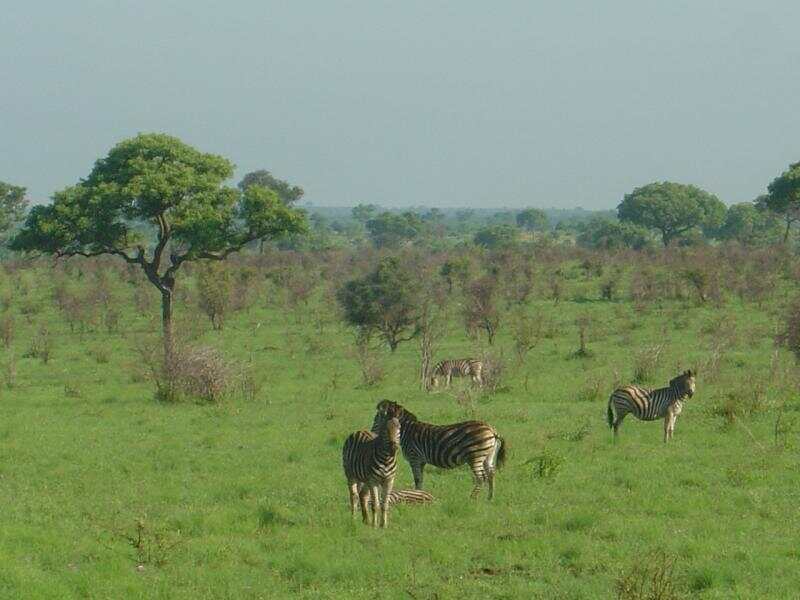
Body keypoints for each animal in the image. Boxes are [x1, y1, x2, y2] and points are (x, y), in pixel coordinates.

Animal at [370, 400, 506, 500]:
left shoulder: (414, 458)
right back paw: (490, 498)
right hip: (488, 456)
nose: (371, 433)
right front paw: (419, 494)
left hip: (475, 456)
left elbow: (417, 479)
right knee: (491, 474)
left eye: (376, 419)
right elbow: (420, 480)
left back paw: (472, 498)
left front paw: (417, 496)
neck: (406, 432)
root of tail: (491, 430)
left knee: (481, 477)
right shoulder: (421, 461)